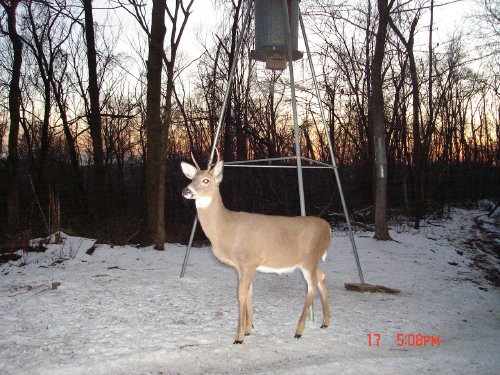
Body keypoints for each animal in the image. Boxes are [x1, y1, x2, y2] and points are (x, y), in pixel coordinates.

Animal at [181, 151, 332, 346]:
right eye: (192, 178)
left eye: (206, 180)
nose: (186, 191)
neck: (225, 227)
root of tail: (328, 227)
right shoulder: (242, 266)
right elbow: (249, 293)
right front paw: (248, 329)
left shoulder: (248, 261)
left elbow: (240, 294)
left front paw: (238, 337)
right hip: (312, 261)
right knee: (322, 277)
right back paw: (325, 322)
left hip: (309, 259)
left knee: (312, 285)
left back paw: (299, 331)